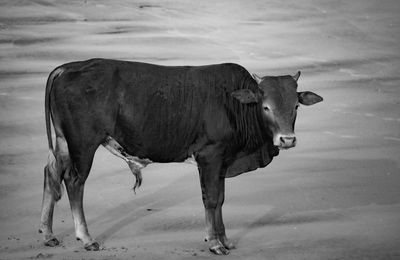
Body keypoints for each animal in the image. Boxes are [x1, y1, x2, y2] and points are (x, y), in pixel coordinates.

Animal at [39, 58, 324, 254]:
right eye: (266, 107)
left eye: (295, 106)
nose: (287, 139)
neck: (234, 105)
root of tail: (67, 68)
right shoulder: (210, 156)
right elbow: (211, 199)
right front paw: (214, 242)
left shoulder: (222, 161)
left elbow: (220, 200)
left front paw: (225, 239)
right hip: (83, 144)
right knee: (74, 182)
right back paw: (86, 238)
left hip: (63, 142)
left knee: (51, 174)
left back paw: (47, 234)